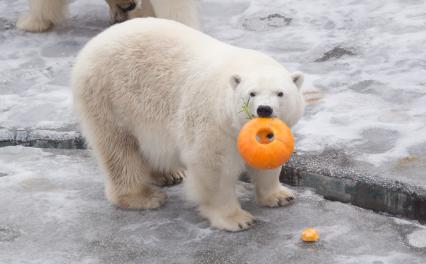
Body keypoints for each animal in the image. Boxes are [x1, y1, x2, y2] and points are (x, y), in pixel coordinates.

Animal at [74, 17, 306, 231]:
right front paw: (236, 219)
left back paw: (169, 174)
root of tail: (91, 45)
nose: (264, 109)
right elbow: (214, 166)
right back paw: (143, 197)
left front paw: (281, 196)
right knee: (119, 150)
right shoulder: (213, 122)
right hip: (111, 99)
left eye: (280, 93)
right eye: (252, 93)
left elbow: (267, 159)